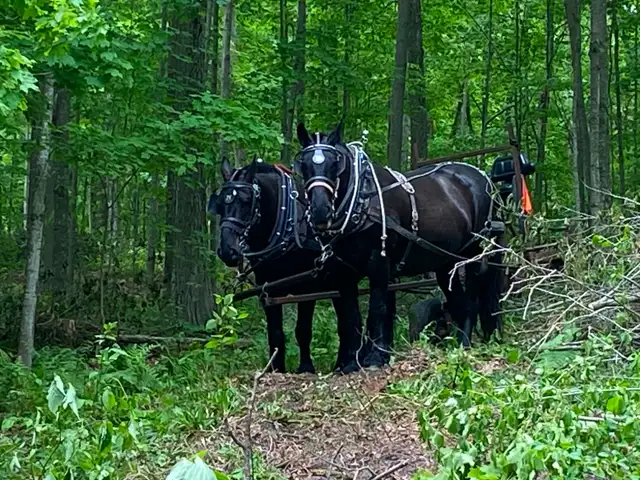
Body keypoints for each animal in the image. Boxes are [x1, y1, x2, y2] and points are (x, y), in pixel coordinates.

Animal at [208, 157, 396, 374]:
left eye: (247, 202)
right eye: (220, 205)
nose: (227, 251)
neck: (287, 226)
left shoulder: (307, 289)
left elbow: (303, 329)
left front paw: (306, 366)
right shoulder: (267, 290)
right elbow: (275, 332)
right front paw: (275, 367)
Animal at [293, 121, 506, 369]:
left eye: (335, 163)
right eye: (304, 164)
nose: (320, 211)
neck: (362, 199)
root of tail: (483, 178)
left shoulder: (379, 262)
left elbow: (378, 309)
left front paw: (375, 358)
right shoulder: (343, 271)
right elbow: (350, 316)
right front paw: (350, 364)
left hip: (474, 254)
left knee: (472, 299)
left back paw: (465, 344)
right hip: (445, 263)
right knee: (458, 301)